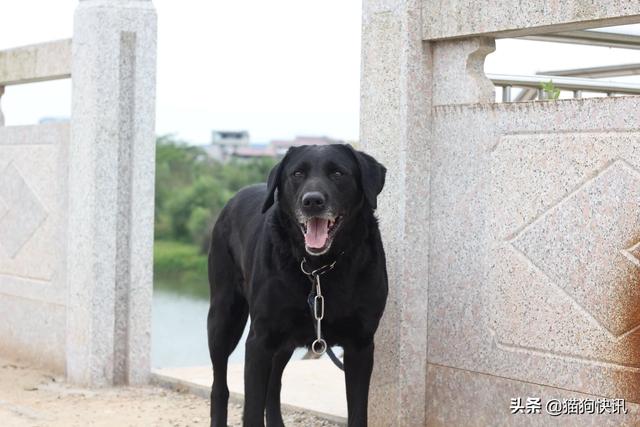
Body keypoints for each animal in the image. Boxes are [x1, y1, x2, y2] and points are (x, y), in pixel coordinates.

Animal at [210, 145, 388, 426]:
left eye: (338, 173)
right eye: (297, 173)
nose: (312, 201)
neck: (318, 269)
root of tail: (233, 198)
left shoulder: (361, 345)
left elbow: (358, 412)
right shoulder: (259, 341)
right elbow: (252, 409)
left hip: (285, 341)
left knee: (273, 387)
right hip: (223, 317)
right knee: (220, 386)